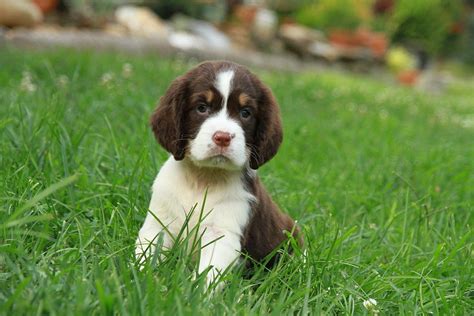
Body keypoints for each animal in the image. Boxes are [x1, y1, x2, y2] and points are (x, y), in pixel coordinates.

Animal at [135, 60, 302, 286]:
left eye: (245, 113)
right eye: (202, 108)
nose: (222, 137)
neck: (203, 178)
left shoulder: (223, 234)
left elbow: (208, 274)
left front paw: (194, 293)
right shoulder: (159, 222)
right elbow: (144, 256)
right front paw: (140, 280)